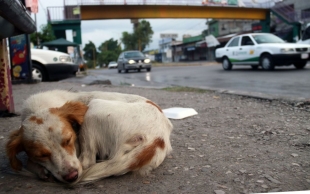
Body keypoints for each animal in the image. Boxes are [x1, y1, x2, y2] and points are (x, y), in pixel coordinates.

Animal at [5, 89, 172, 183]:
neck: (38, 108)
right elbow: (29, 161)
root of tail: (158, 137)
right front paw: (40, 169)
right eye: (41, 155)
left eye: (69, 140)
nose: (71, 177)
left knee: (87, 161)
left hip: (93, 108)